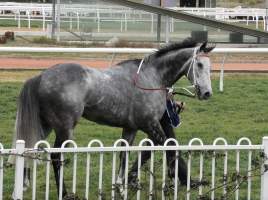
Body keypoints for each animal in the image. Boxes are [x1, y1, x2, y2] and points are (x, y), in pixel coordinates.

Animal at [7, 38, 214, 198]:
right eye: (199, 64)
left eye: (210, 66)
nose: (207, 93)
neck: (151, 78)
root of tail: (41, 76)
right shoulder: (151, 125)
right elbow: (170, 148)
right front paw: (178, 179)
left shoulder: (131, 128)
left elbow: (124, 154)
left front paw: (120, 187)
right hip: (64, 128)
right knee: (56, 156)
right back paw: (64, 193)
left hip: (45, 125)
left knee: (29, 146)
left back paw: (23, 186)